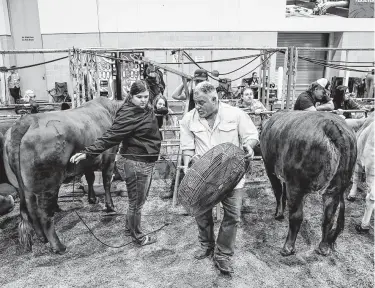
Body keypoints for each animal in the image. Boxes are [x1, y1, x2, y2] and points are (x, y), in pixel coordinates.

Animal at [262, 111, 358, 256]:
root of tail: (330, 125)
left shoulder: (270, 168)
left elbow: (278, 191)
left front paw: (278, 214)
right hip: (336, 186)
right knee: (328, 216)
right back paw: (323, 248)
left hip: (296, 184)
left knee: (296, 216)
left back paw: (287, 248)